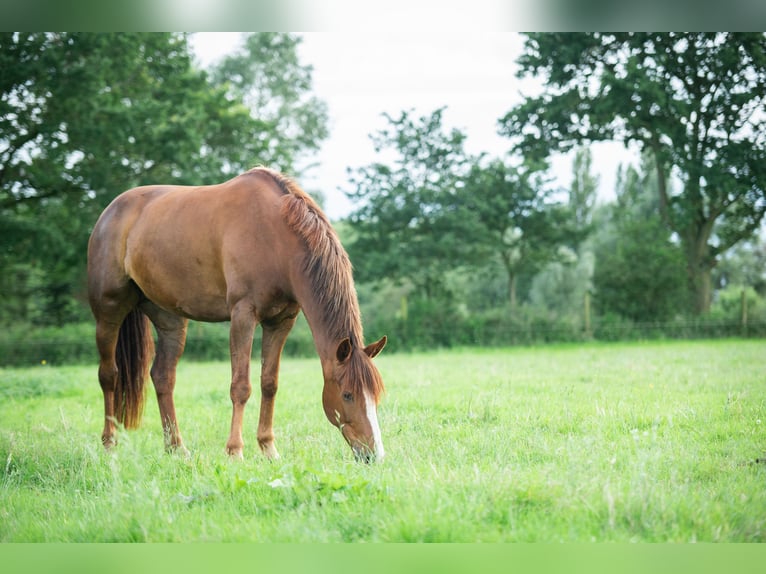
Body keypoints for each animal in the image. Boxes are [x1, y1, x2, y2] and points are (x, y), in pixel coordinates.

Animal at [87, 166, 388, 464]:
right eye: (347, 395)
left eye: (375, 395)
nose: (373, 455)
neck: (275, 237)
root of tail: (110, 212)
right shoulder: (243, 315)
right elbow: (241, 387)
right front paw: (234, 451)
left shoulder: (281, 321)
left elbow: (269, 383)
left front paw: (268, 448)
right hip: (108, 311)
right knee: (109, 375)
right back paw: (109, 445)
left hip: (170, 319)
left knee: (163, 377)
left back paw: (177, 448)